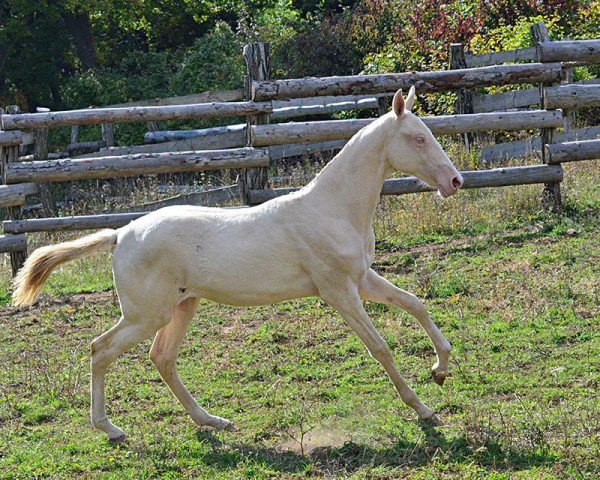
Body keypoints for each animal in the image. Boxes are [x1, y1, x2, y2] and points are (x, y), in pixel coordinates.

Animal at [12, 87, 464, 442]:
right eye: (418, 139)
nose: (455, 181)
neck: (332, 210)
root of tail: (121, 234)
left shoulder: (362, 279)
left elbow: (416, 303)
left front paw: (440, 370)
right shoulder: (338, 291)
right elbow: (380, 347)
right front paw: (424, 409)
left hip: (182, 305)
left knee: (162, 358)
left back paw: (212, 421)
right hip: (146, 314)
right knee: (100, 349)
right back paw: (110, 429)